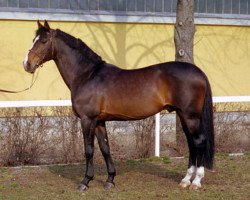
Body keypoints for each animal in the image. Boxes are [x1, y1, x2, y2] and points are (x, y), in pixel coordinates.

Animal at [23, 21, 214, 191]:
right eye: (33, 39)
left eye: (43, 41)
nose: (27, 64)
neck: (87, 75)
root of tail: (199, 72)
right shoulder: (99, 121)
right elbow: (105, 148)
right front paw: (110, 180)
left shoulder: (87, 120)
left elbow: (89, 150)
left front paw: (85, 182)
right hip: (183, 115)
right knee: (191, 143)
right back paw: (185, 180)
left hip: (190, 116)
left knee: (199, 142)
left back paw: (196, 181)